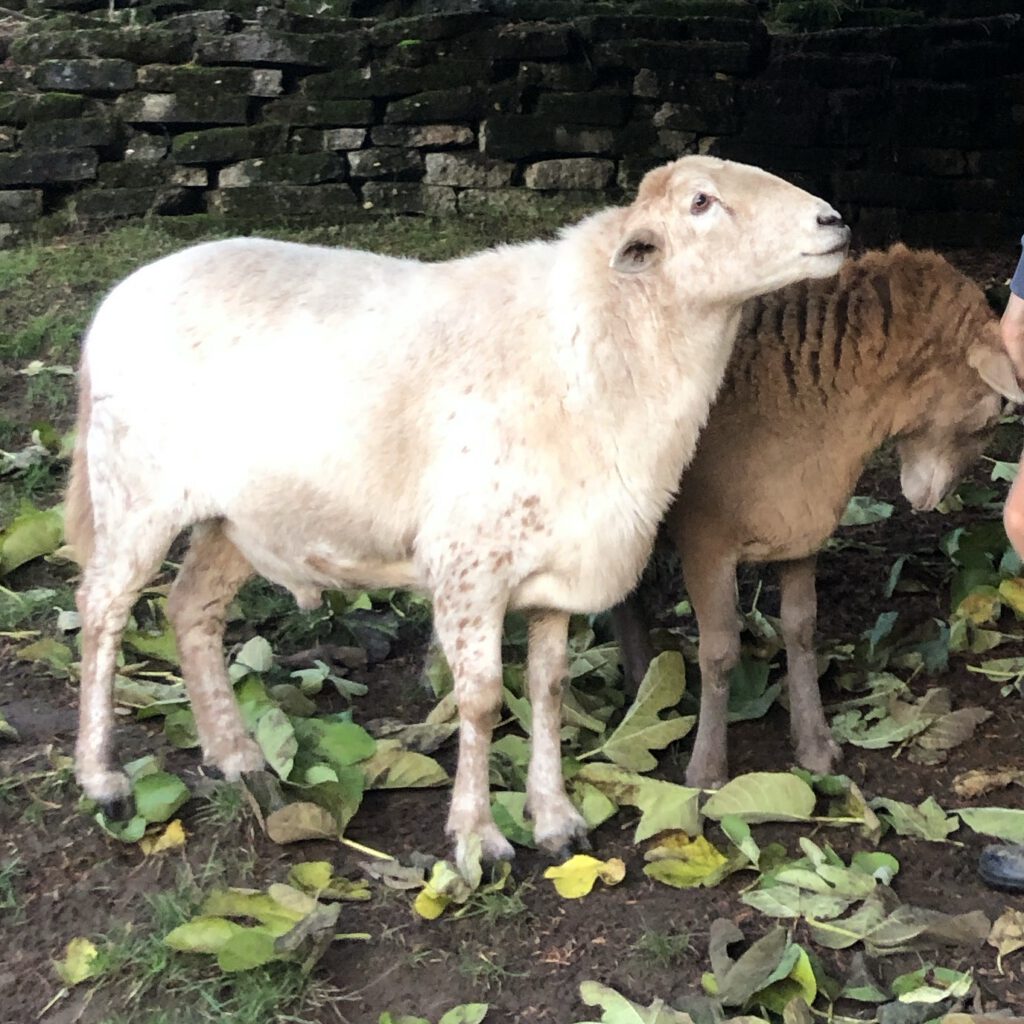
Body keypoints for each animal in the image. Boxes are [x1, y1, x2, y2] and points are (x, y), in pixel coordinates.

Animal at [66, 155, 849, 863]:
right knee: (102, 610)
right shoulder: (469, 564)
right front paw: (478, 838)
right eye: (701, 202)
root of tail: (116, 301)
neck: (603, 348)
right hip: (134, 488)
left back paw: (236, 756)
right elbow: (480, 699)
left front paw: (556, 821)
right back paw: (104, 779)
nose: (834, 222)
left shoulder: (555, 566)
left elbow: (547, 690)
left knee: (191, 610)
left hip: (239, 519)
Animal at [612, 244, 1024, 790]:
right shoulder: (705, 541)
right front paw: (707, 771)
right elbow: (719, 652)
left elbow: (801, 630)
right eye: (993, 413)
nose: (928, 498)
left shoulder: (801, 524)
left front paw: (815, 746)